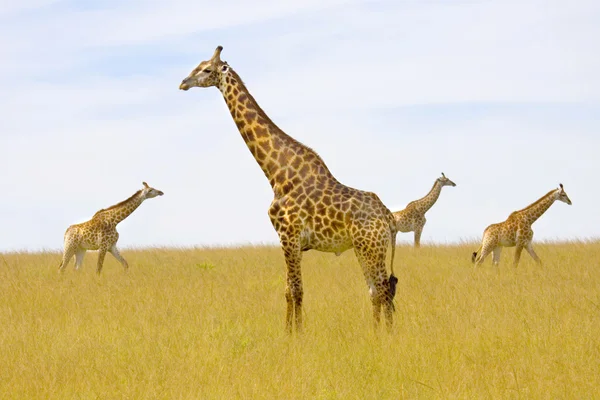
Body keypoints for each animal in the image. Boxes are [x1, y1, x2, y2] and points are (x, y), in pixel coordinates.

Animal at [178, 46, 398, 332]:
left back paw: (386, 334)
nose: (183, 82)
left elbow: (296, 290)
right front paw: (287, 333)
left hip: (371, 246)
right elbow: (287, 291)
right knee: (377, 290)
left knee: (382, 290)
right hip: (366, 247)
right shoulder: (286, 239)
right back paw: (377, 333)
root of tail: (388, 217)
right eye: (198, 65)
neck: (276, 173)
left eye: (206, 69)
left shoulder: (289, 236)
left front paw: (298, 335)